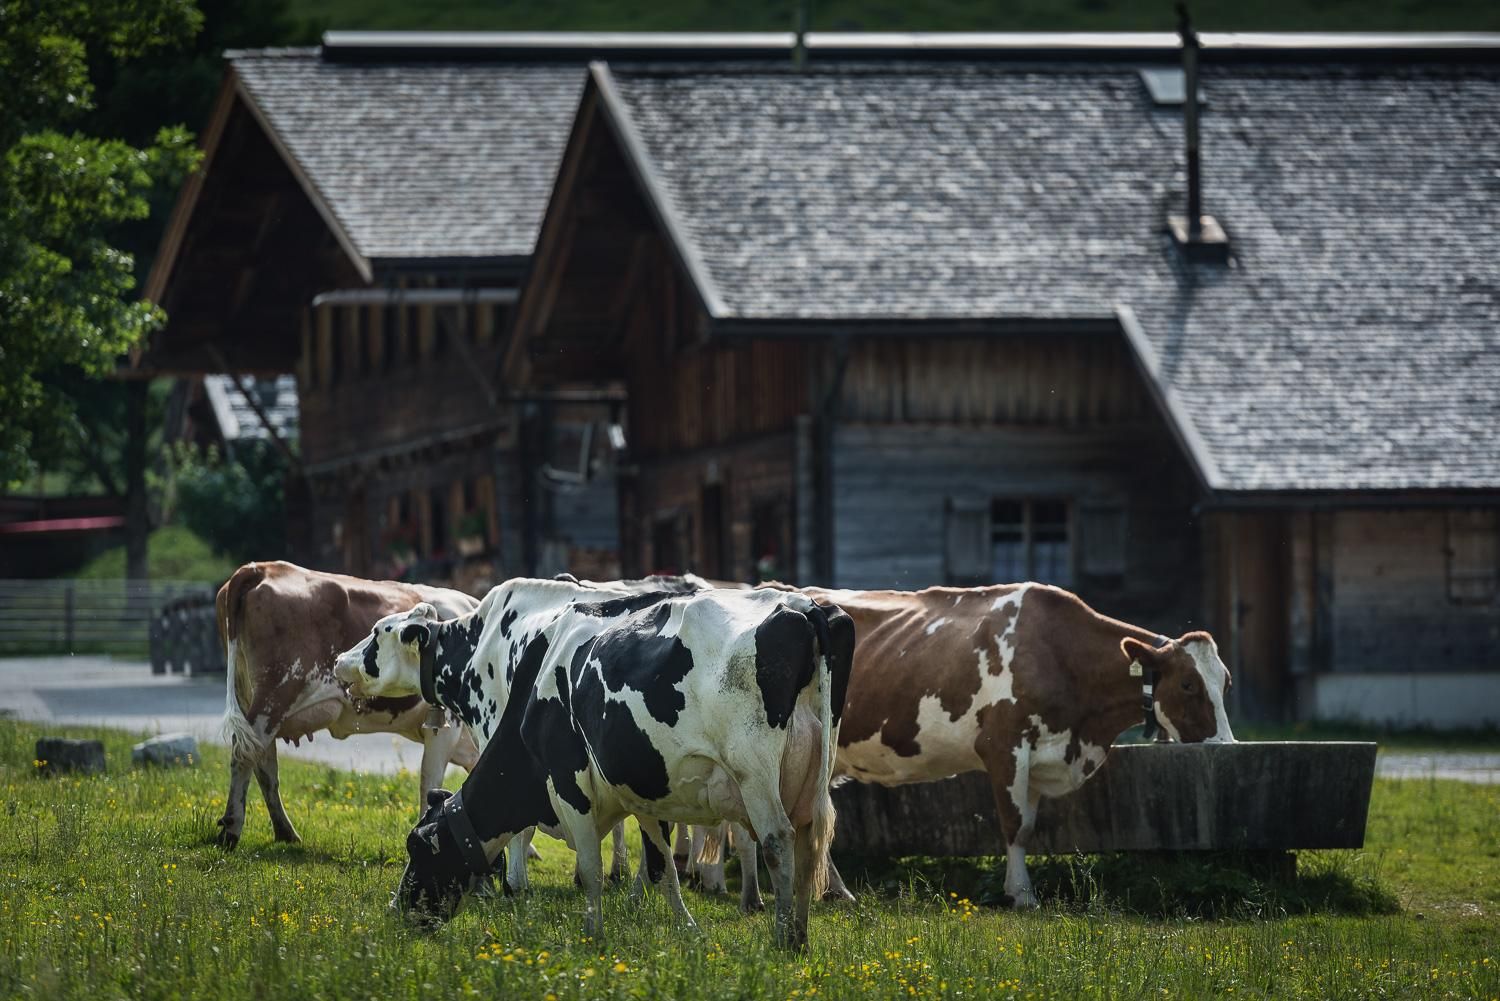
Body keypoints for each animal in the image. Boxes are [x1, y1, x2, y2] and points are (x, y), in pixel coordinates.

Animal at [214, 561, 481, 849]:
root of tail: (262, 568)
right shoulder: (445, 729)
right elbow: (429, 781)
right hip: (275, 696)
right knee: (244, 754)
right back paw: (232, 830)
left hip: (252, 698)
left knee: (264, 763)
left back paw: (285, 832)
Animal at [332, 578, 854, 949]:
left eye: (417, 848)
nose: (397, 911)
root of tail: (806, 607)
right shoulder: (642, 789)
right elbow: (661, 865)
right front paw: (686, 930)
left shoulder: (566, 782)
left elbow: (584, 862)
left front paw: (584, 929)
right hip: (811, 778)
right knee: (810, 843)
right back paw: (801, 934)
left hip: (755, 775)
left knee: (778, 841)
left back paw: (784, 939)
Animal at [710, 581, 1233, 909]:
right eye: (1188, 684)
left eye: (1225, 681)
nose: (1227, 746)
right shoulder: (1004, 746)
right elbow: (1015, 826)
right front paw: (1021, 894)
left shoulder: (1040, 758)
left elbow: (1029, 824)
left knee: (813, 819)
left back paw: (835, 892)